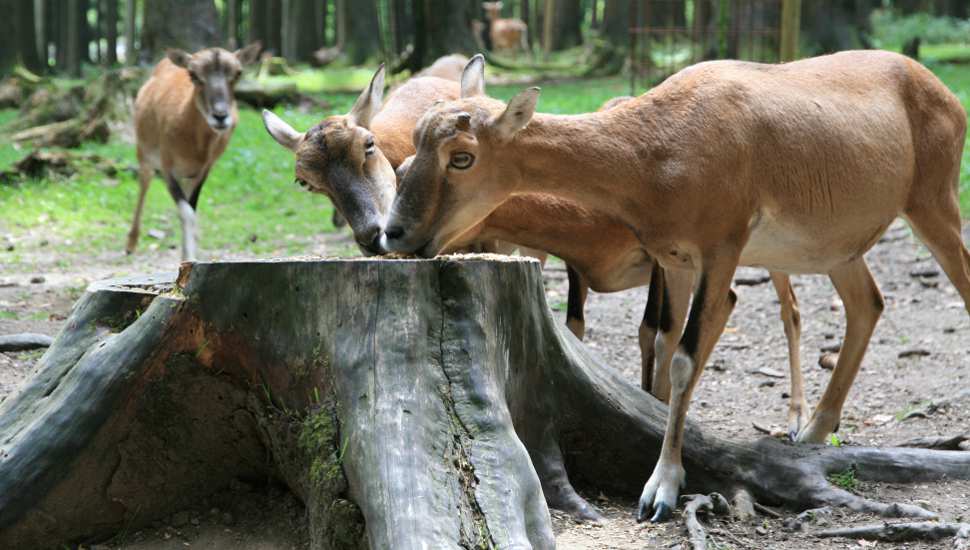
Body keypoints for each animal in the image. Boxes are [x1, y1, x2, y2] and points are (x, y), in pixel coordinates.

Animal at [129, 43, 264, 264]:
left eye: (238, 72)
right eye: (193, 74)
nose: (220, 116)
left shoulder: (203, 170)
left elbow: (190, 209)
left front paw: (188, 258)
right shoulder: (167, 167)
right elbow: (187, 212)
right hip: (144, 152)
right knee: (144, 182)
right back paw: (130, 244)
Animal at [382, 52, 964, 528]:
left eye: (463, 156)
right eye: (411, 150)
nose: (395, 233)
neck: (658, 151)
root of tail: (947, 95)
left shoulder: (722, 247)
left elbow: (684, 357)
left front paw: (660, 491)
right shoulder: (674, 259)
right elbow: (663, 344)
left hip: (935, 201)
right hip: (840, 247)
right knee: (867, 302)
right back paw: (814, 433)